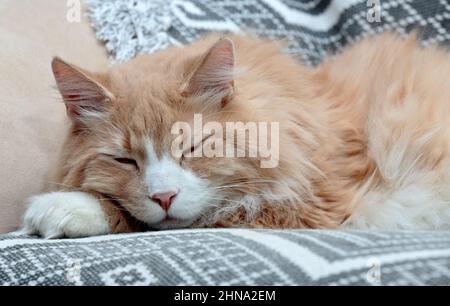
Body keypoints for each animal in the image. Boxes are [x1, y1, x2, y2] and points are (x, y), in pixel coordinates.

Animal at [20, 32, 450, 239]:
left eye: (192, 147)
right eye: (124, 160)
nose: (164, 197)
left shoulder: (312, 205)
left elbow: (187, 216)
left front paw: (66, 207)